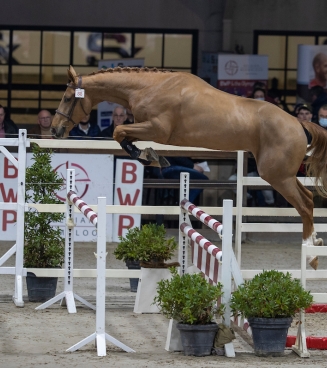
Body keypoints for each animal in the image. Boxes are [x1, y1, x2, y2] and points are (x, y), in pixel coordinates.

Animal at [50, 65, 327, 268]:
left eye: (67, 98)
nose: (55, 130)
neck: (149, 87)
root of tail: (298, 124)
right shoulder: (147, 128)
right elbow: (123, 135)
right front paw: (151, 155)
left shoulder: (157, 129)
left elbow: (119, 132)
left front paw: (148, 156)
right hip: (283, 175)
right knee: (308, 199)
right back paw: (314, 246)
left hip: (276, 175)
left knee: (304, 205)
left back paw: (311, 254)